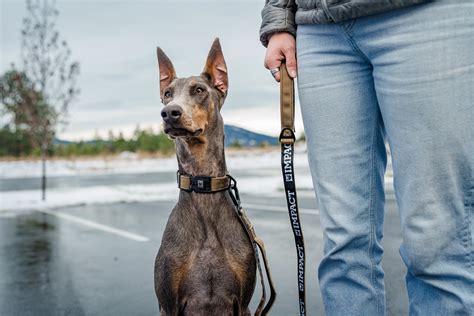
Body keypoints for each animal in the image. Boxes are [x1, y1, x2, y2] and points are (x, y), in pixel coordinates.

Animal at [154, 38, 256, 314]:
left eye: (199, 90)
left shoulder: (243, 302)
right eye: (167, 94)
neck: (203, 184)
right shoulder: (168, 304)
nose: (169, 113)